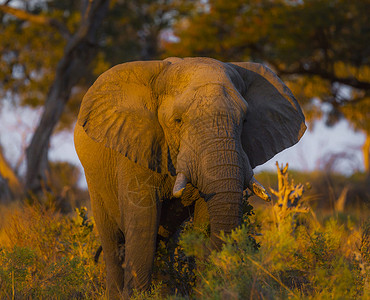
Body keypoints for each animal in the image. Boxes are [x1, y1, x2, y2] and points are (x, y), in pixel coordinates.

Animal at [73, 56, 304, 298]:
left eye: (244, 121)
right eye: (178, 121)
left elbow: (206, 220)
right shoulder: (135, 147)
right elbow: (143, 221)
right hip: (95, 182)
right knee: (113, 242)